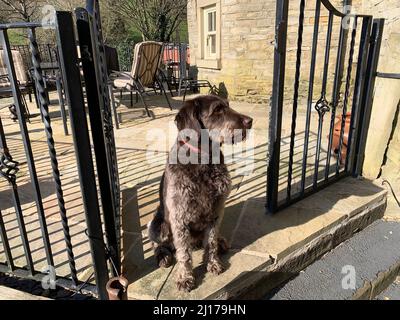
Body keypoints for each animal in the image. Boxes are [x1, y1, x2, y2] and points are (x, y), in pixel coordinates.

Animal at [148, 94, 252, 292]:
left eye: (228, 105)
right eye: (217, 109)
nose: (249, 121)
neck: (204, 160)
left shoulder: (216, 212)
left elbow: (210, 242)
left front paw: (213, 263)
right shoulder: (179, 217)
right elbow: (183, 253)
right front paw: (185, 277)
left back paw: (220, 242)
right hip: (157, 225)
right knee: (161, 244)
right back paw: (163, 256)